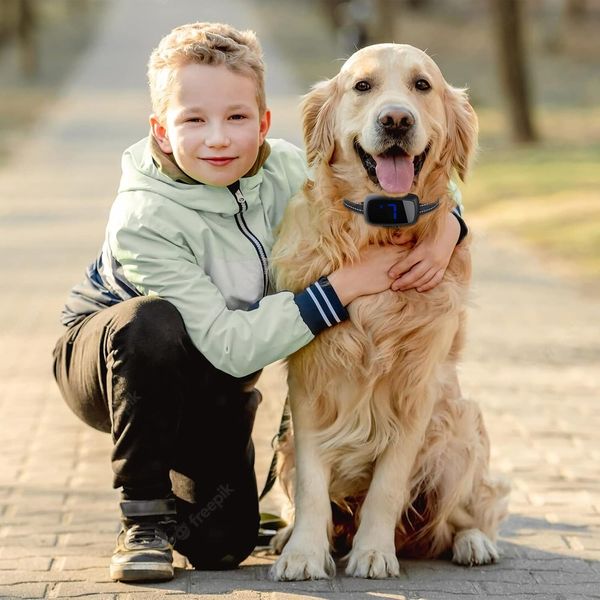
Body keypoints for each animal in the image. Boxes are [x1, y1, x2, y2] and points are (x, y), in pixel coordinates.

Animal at [270, 43, 508, 580]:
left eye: (422, 85)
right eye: (362, 86)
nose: (396, 119)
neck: (381, 229)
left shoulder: (416, 392)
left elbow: (389, 484)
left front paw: (374, 552)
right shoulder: (309, 387)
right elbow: (313, 486)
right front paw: (303, 553)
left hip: (459, 426)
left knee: (465, 513)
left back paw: (473, 542)